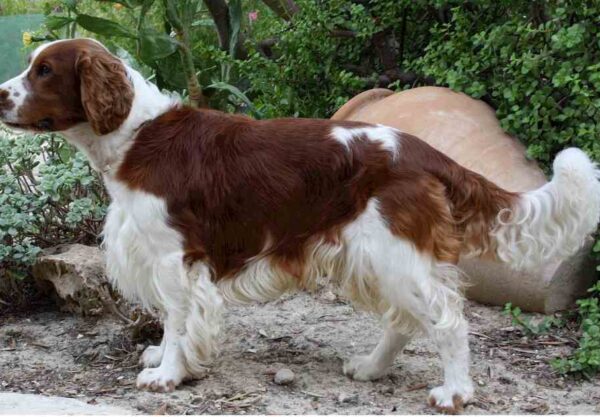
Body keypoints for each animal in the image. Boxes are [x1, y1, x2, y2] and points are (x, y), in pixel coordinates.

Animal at [1, 39, 600, 412]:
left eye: (44, 71)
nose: (0, 94)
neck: (135, 135)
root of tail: (425, 152)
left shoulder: (175, 259)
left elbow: (175, 320)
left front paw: (167, 374)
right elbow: (181, 326)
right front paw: (172, 362)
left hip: (395, 252)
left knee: (447, 322)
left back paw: (454, 393)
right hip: (375, 256)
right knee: (406, 321)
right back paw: (371, 368)